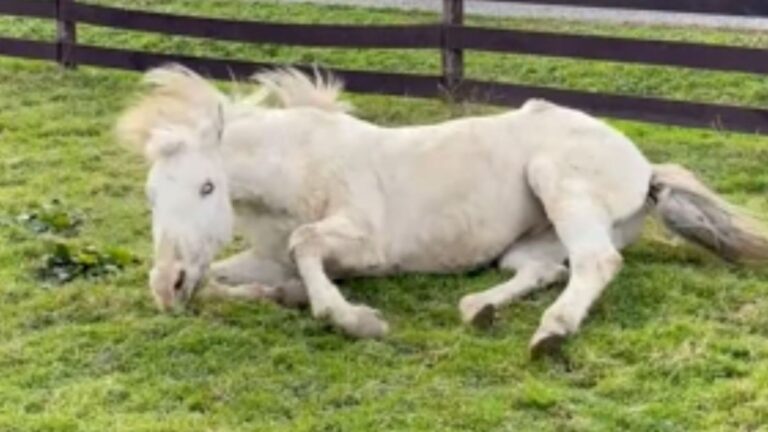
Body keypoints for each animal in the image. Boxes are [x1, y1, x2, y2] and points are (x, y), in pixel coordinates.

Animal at [117, 64, 768, 356]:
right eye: (151, 194)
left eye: (207, 187)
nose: (166, 285)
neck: (299, 167)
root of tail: (643, 165)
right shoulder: (265, 257)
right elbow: (229, 279)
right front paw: (282, 296)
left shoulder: (364, 242)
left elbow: (307, 247)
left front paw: (353, 318)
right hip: (528, 240)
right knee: (543, 269)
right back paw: (480, 309)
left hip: (558, 182)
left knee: (596, 262)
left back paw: (550, 332)